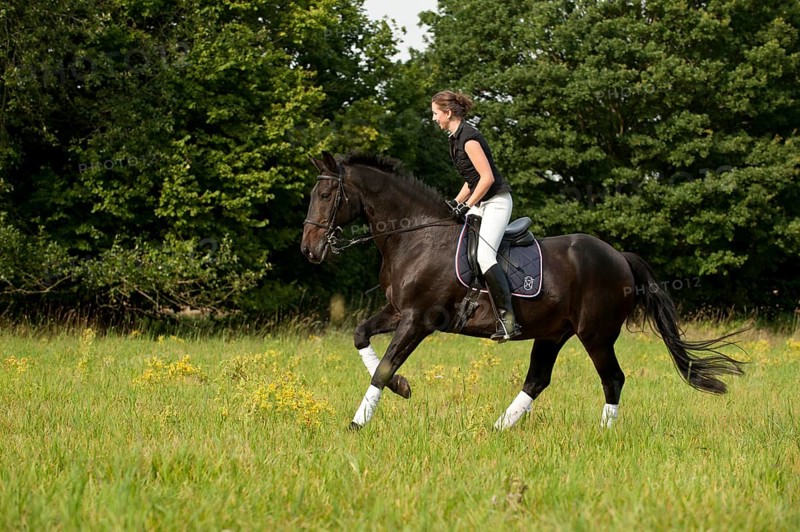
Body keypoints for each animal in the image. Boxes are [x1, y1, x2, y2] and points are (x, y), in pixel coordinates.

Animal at [301, 151, 744, 430]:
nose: (309, 249)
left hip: (596, 334)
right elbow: (361, 337)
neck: (415, 235)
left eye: (325, 194)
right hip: (553, 333)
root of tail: (619, 256)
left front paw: (357, 424)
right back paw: (497, 428)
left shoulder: (419, 319)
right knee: (537, 380)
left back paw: (603, 433)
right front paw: (403, 389)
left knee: (613, 379)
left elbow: (385, 367)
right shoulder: (397, 311)